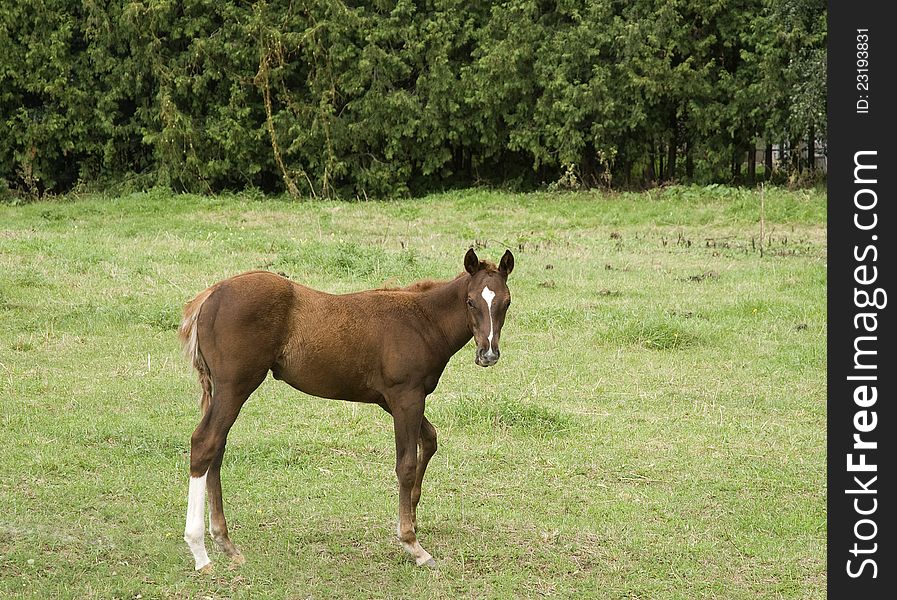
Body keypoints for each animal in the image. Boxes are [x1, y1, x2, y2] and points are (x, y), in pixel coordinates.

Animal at [177, 248, 512, 572]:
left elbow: (428, 441)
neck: (423, 322)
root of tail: (211, 294)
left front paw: (413, 521)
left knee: (217, 448)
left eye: (506, 302)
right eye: (470, 301)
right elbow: (406, 465)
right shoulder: (406, 397)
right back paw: (200, 553)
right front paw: (412, 544)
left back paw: (226, 544)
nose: (488, 354)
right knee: (205, 442)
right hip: (234, 386)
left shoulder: (392, 400)